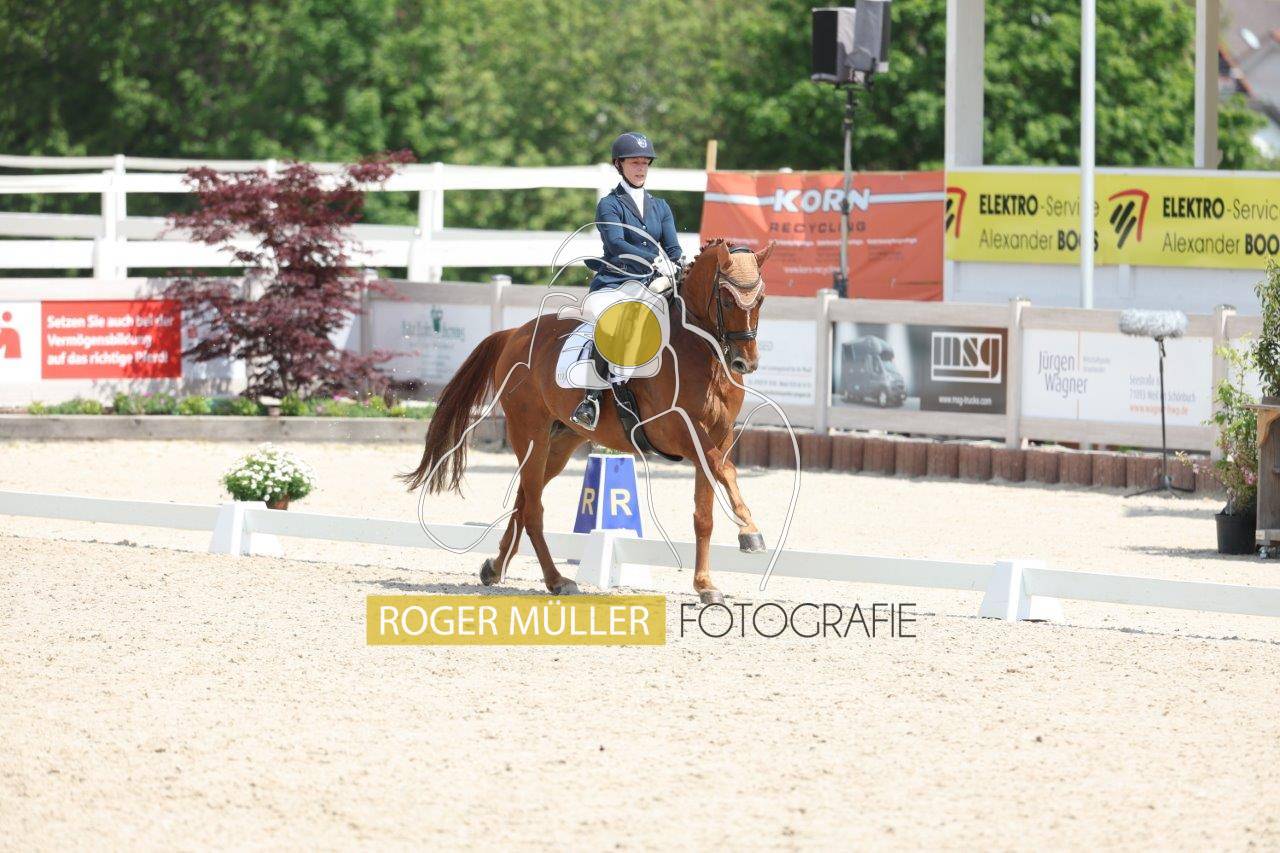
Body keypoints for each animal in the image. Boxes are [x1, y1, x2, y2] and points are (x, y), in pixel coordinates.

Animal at [399, 238, 774, 604]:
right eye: (726, 299)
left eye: (761, 299)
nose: (745, 363)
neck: (700, 350)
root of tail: (515, 333)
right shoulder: (680, 432)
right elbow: (727, 471)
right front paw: (750, 533)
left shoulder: (719, 436)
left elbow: (705, 514)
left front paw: (705, 585)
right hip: (529, 433)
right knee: (533, 509)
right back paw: (556, 580)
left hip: (561, 442)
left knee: (524, 500)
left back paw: (495, 567)